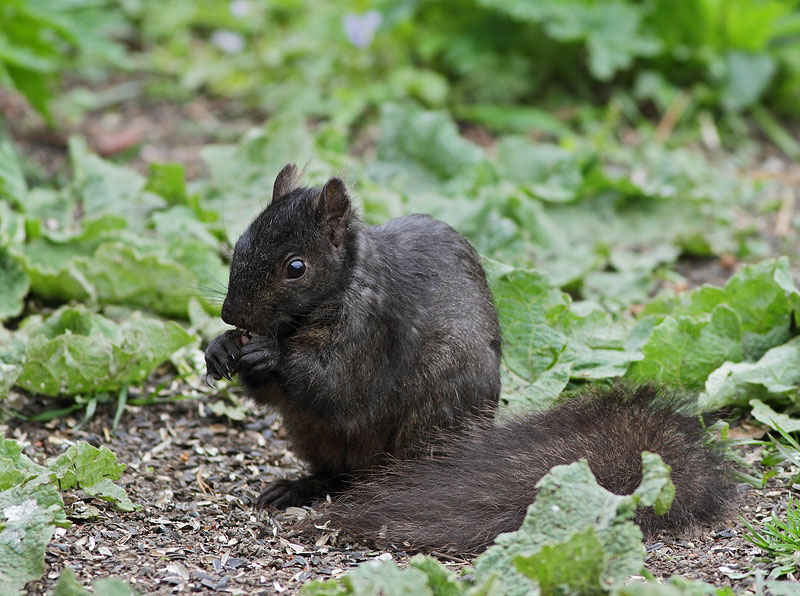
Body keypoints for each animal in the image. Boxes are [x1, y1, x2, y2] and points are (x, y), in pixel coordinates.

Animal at [205, 164, 734, 553]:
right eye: (239, 242)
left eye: (296, 268)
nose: (231, 313)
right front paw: (221, 346)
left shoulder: (372, 329)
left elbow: (335, 385)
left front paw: (266, 351)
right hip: (313, 435)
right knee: (335, 472)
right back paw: (298, 487)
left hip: (436, 411)